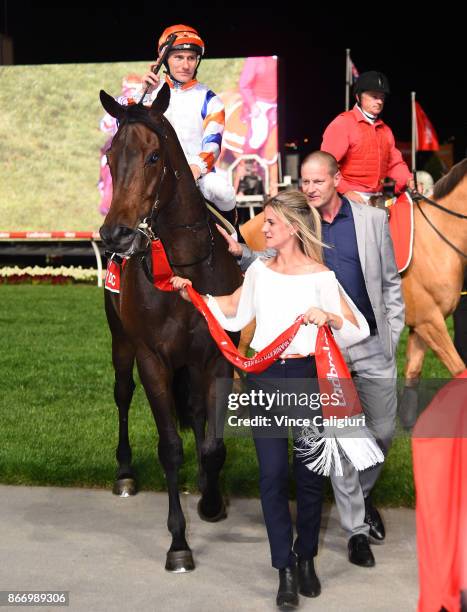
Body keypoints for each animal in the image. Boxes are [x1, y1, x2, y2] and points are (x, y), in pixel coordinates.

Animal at [100, 83, 243, 572]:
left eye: (153, 157)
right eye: (110, 157)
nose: (116, 235)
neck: (183, 265)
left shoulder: (216, 357)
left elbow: (213, 443)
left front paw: (212, 500)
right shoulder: (153, 359)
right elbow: (170, 448)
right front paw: (179, 543)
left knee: (197, 413)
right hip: (121, 342)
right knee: (123, 394)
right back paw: (124, 473)